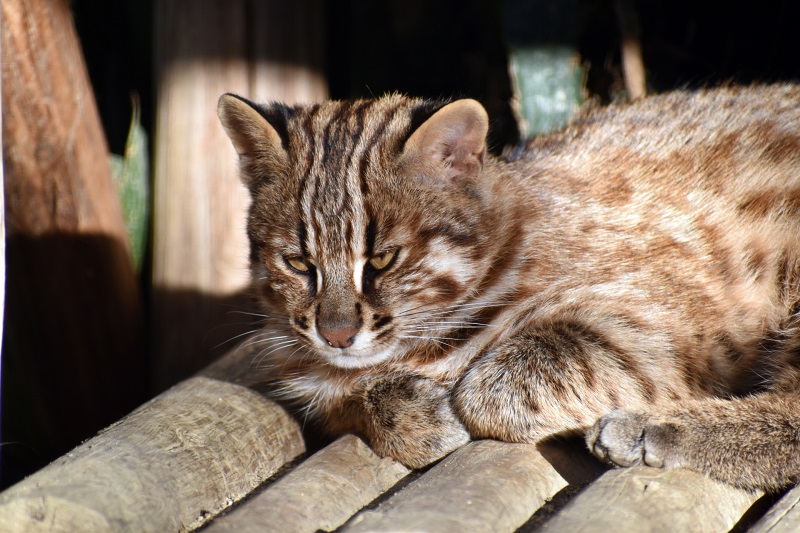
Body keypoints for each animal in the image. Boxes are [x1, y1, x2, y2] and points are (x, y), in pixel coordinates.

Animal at [217, 86, 800, 490]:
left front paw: (462, 398)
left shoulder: (674, 312)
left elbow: (504, 381)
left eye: (382, 259)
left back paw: (649, 430)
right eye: (298, 263)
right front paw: (408, 412)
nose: (335, 334)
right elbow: (347, 397)